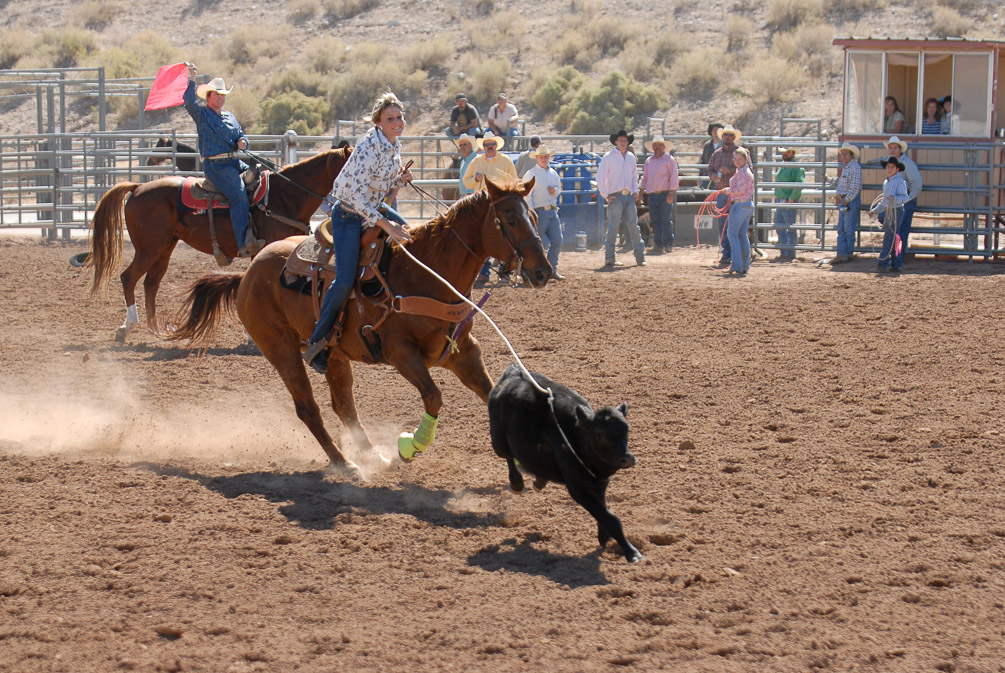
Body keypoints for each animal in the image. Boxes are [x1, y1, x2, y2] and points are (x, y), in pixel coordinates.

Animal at [488, 363, 642, 562]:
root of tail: (514, 371)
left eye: (626, 430)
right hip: (498, 441)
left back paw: (540, 480)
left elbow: (604, 513)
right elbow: (610, 518)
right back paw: (517, 483)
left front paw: (604, 537)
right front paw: (632, 552)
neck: (576, 437)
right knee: (508, 457)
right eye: (600, 434)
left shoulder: (599, 484)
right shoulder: (578, 489)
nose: (628, 458)